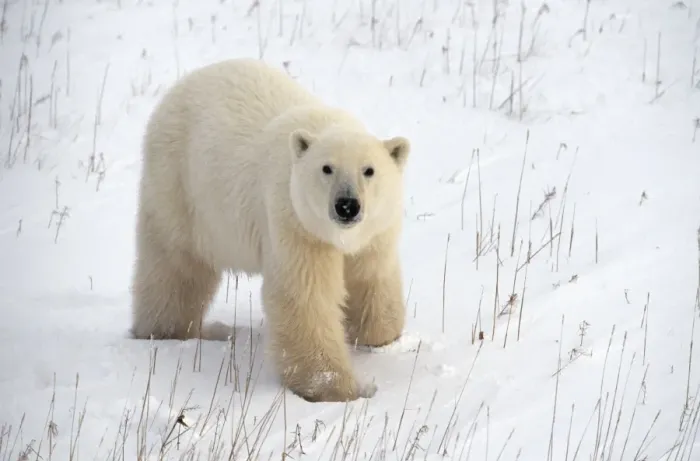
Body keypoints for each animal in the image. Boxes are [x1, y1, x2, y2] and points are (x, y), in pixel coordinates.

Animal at [130, 58, 411, 403]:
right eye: (326, 168)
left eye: (368, 170)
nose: (347, 205)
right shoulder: (295, 223)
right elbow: (304, 297)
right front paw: (336, 387)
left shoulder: (375, 233)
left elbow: (372, 277)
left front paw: (377, 335)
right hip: (178, 187)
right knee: (175, 266)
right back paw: (177, 330)